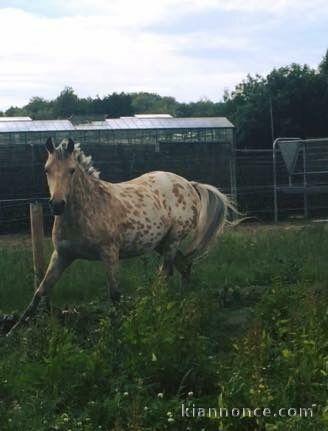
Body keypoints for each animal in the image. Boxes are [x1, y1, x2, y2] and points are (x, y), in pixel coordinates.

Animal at [7, 138, 237, 334]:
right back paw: (181, 302)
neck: (88, 209)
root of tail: (190, 184)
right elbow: (40, 291)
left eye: (71, 170)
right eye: (47, 170)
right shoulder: (62, 256)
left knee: (165, 274)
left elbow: (115, 294)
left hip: (172, 241)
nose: (57, 204)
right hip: (160, 243)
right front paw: (13, 331)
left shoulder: (109, 254)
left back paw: (155, 308)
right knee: (185, 266)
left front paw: (119, 330)